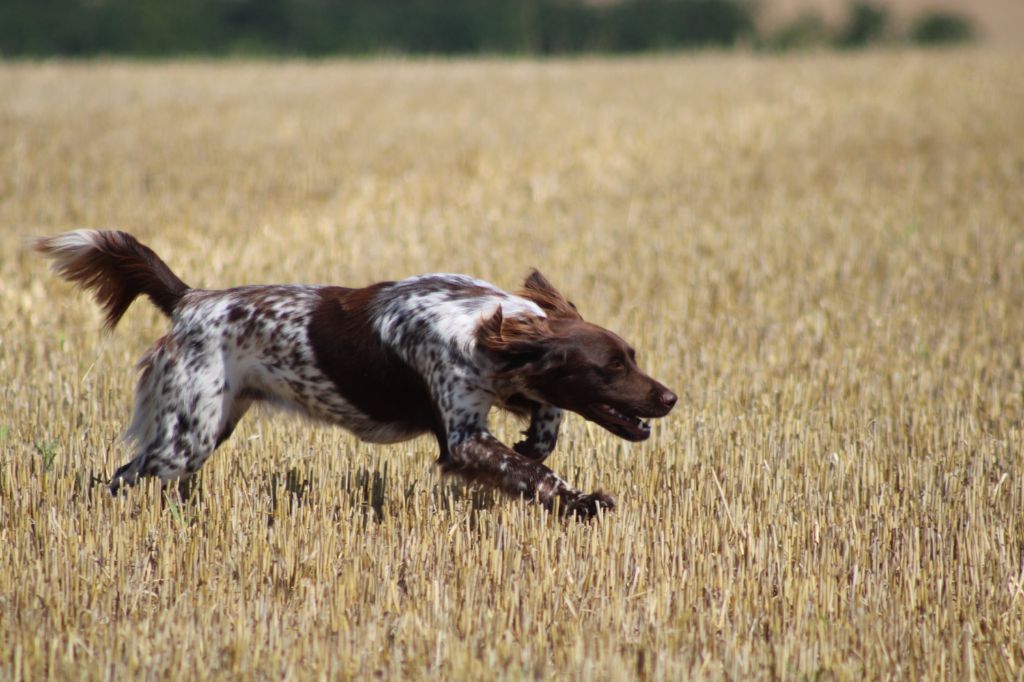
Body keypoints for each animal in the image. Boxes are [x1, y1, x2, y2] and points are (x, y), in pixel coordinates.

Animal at [36, 231, 675, 518]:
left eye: (631, 355)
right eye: (611, 367)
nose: (669, 398)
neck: (479, 324)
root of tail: (191, 299)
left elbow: (542, 423)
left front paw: (538, 437)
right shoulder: (462, 438)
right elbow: (534, 473)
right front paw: (585, 501)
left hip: (211, 423)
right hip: (185, 436)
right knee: (122, 476)